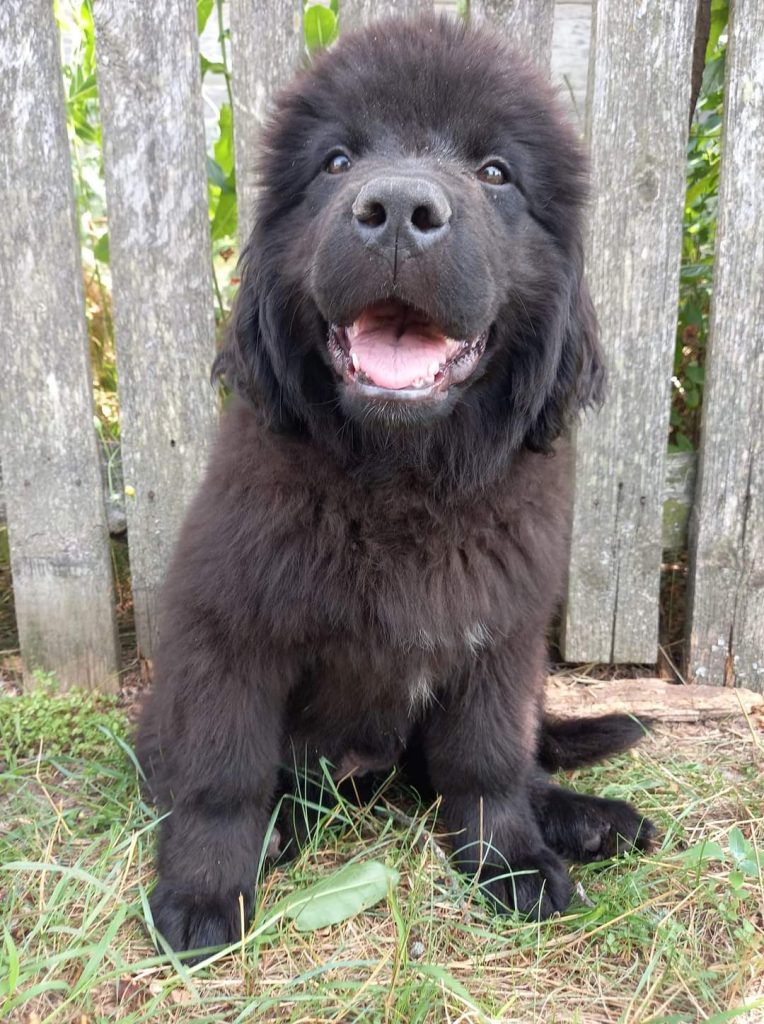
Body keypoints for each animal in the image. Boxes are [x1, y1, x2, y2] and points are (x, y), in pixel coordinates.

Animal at [137, 16, 647, 954]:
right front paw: (203, 892)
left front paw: (510, 863)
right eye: (337, 161)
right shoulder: (228, 632)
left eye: (496, 172)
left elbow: (486, 764)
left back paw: (583, 818)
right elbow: (223, 774)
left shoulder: (501, 642)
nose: (402, 212)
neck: (403, 483)